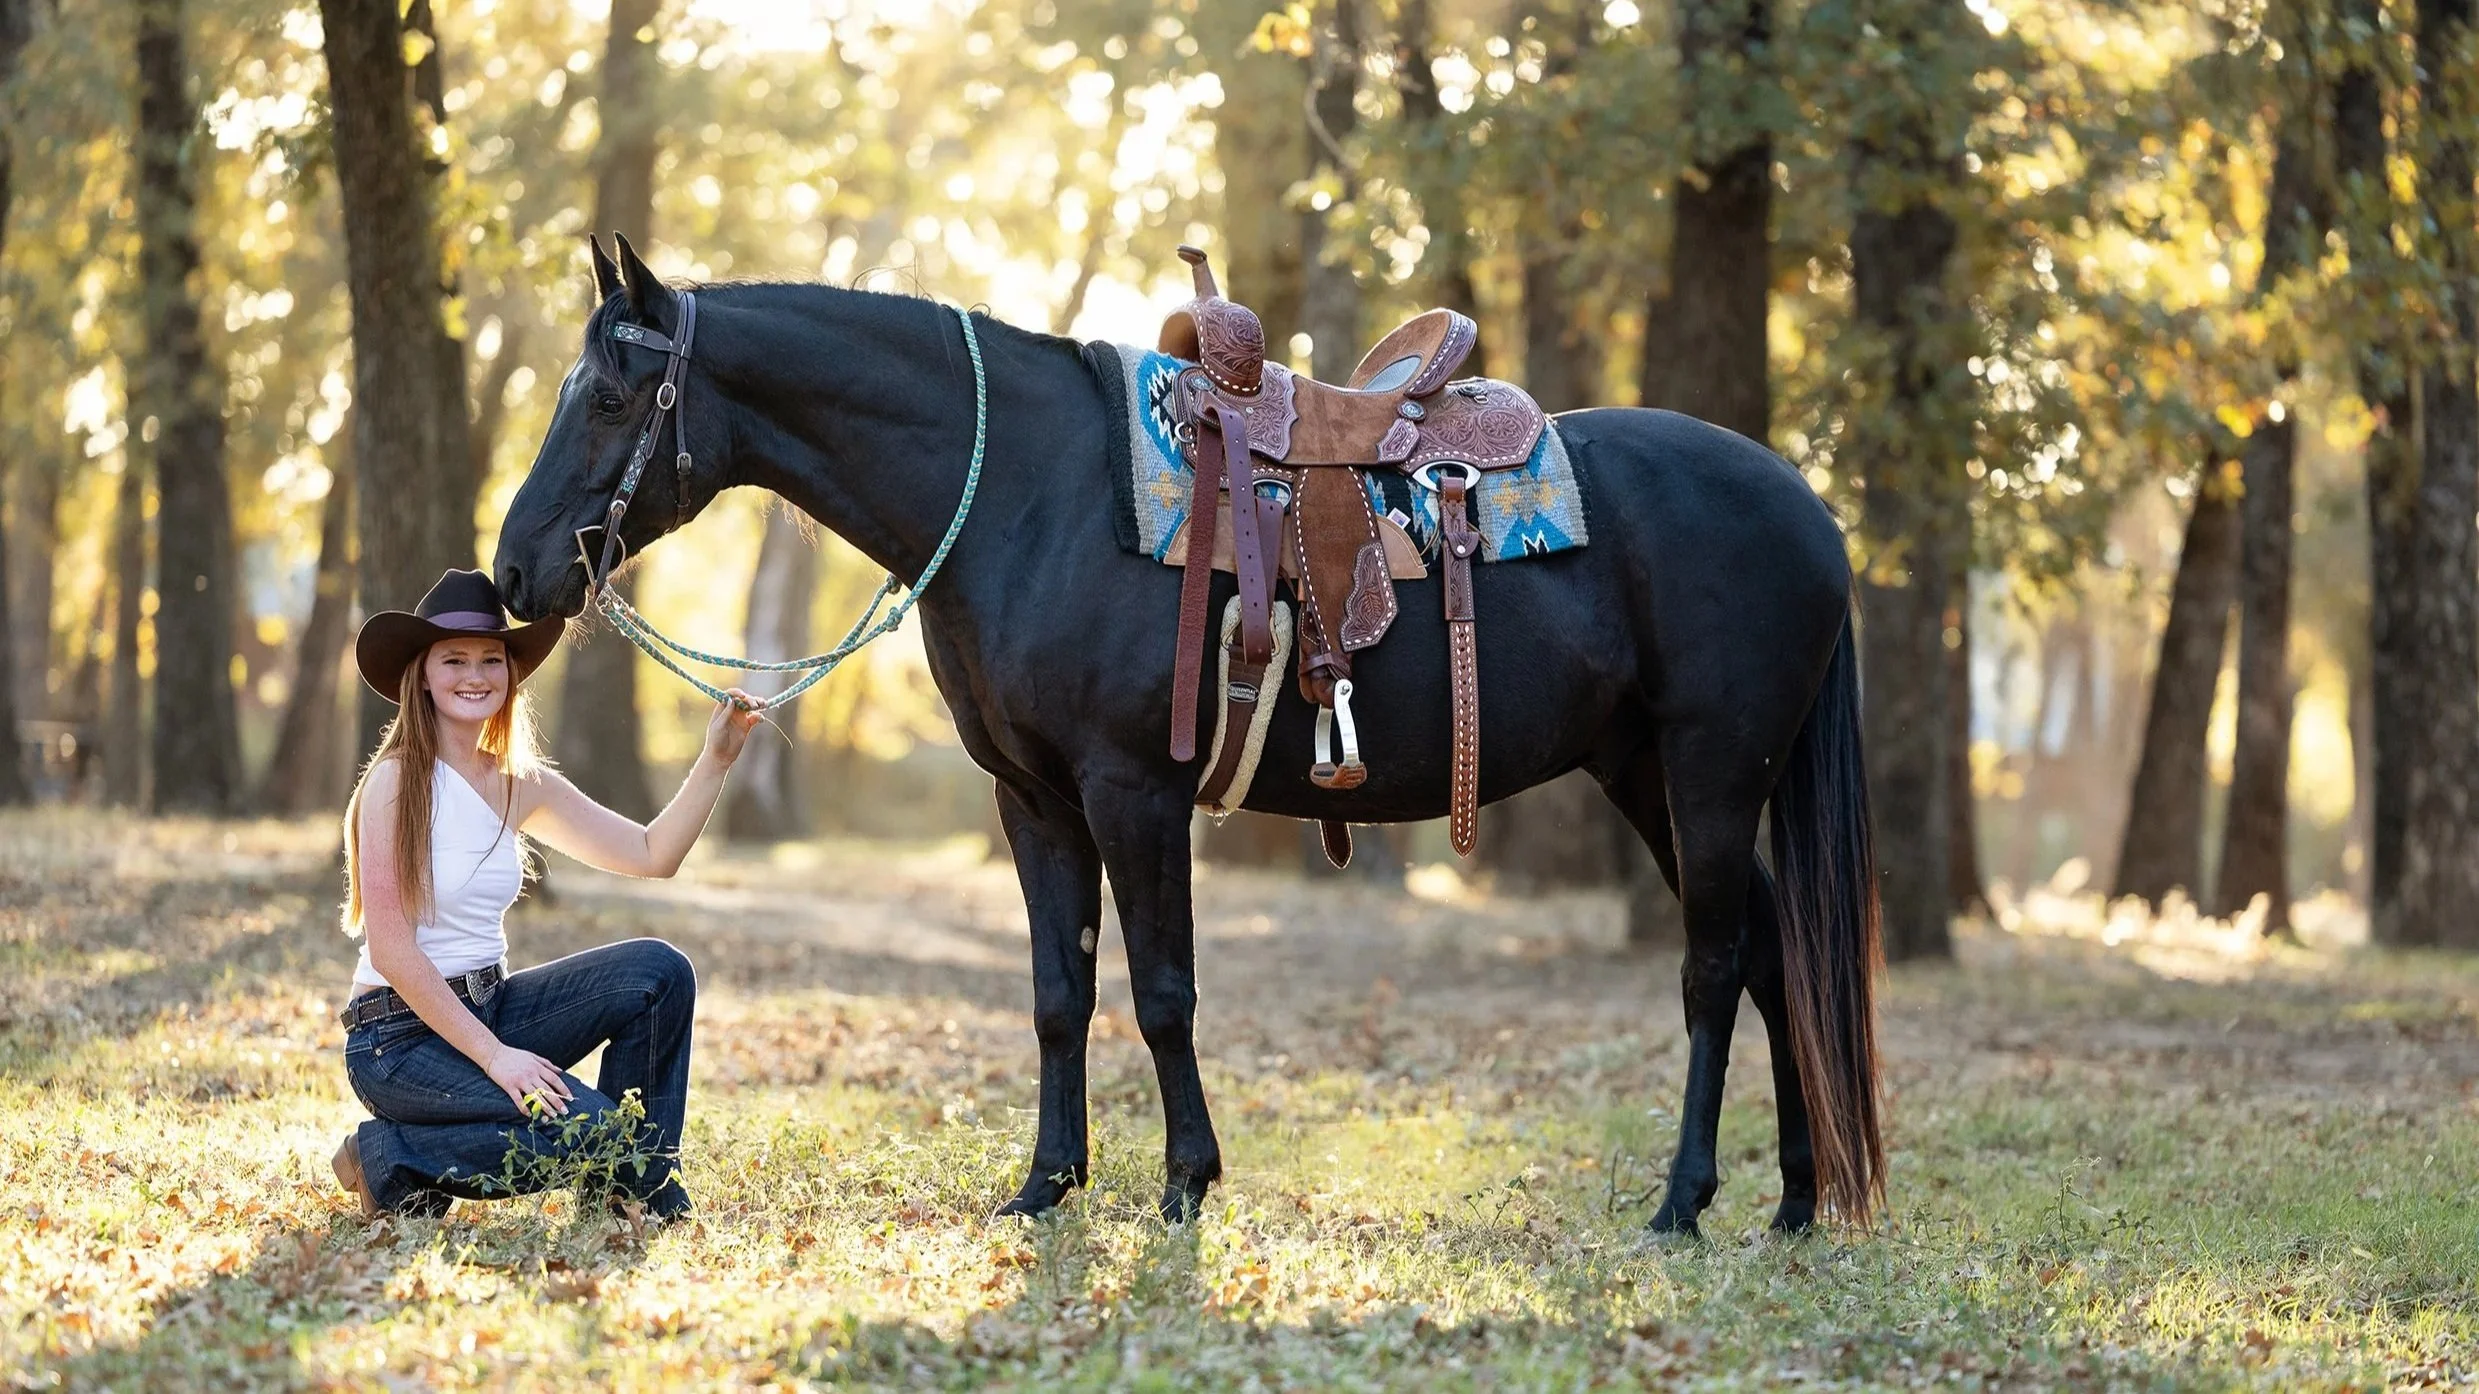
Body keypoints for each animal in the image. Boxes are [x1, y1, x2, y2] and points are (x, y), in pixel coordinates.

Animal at [493, 235, 1884, 1235]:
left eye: (612, 393)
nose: (514, 570)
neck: (1027, 493)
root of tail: (1810, 508)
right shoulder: (1035, 802)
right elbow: (1059, 995)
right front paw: (1045, 1185)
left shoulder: (1134, 790)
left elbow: (1162, 992)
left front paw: (1183, 1183)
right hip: (1649, 773)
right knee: (1771, 955)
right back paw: (1794, 1200)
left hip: (1711, 770)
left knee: (1714, 966)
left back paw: (1684, 1200)